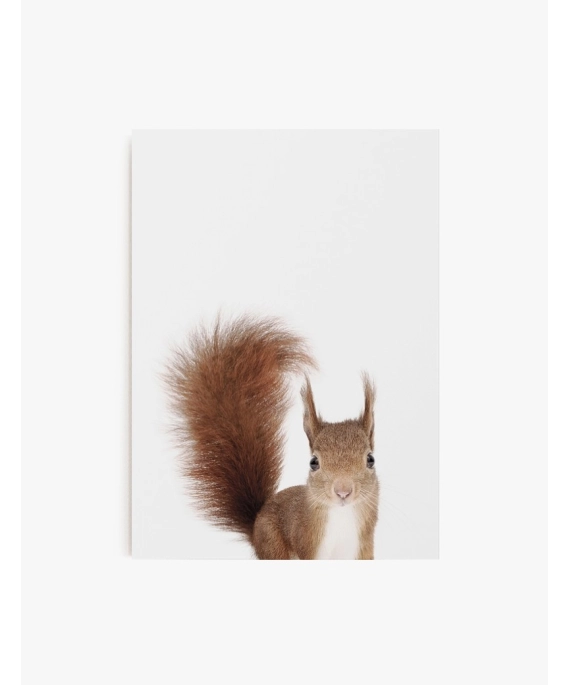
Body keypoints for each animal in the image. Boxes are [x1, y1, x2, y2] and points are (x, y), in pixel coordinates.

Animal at [166, 314, 379, 560]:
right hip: (273, 545)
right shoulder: (307, 544)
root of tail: (256, 526)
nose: (343, 491)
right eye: (313, 462)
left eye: (370, 459)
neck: (342, 517)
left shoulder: (363, 550)